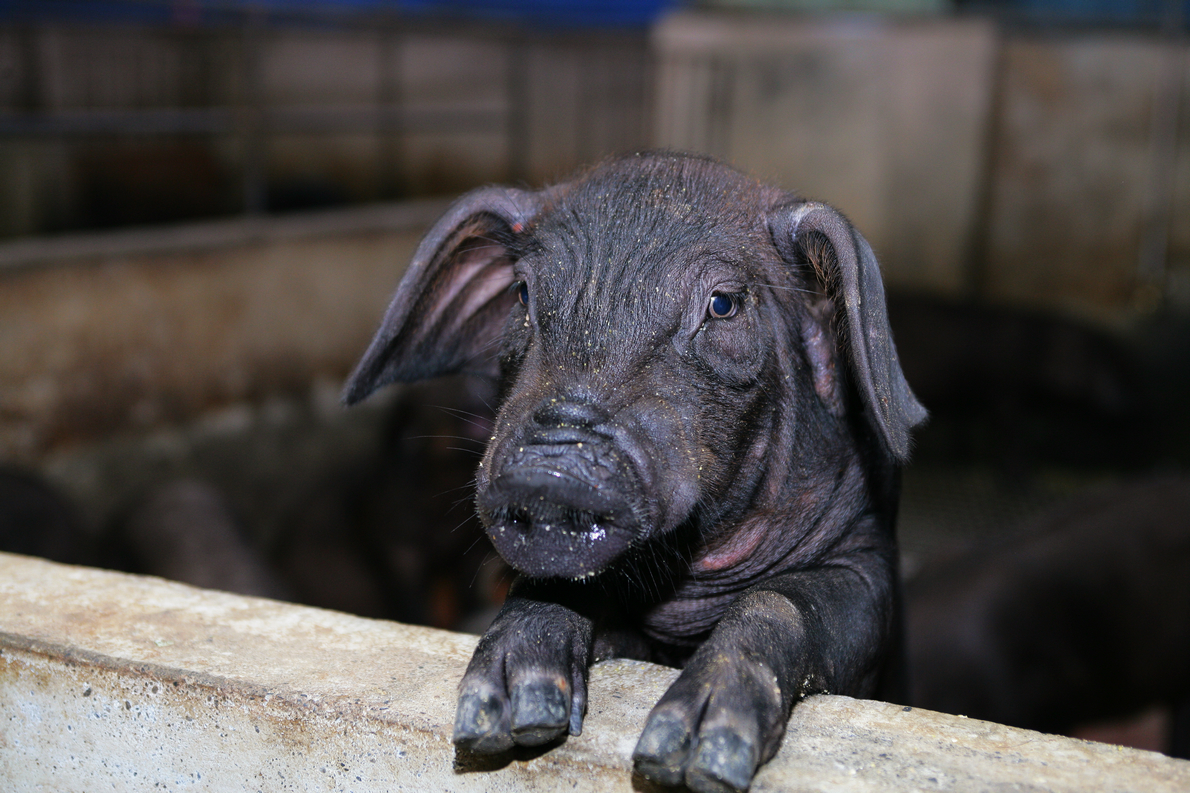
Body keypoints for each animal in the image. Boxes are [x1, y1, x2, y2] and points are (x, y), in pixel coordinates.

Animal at [340, 151, 923, 785]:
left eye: (724, 304)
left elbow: (782, 602)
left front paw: (690, 755)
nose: (551, 472)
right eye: (522, 293)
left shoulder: (868, 566)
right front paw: (504, 714)